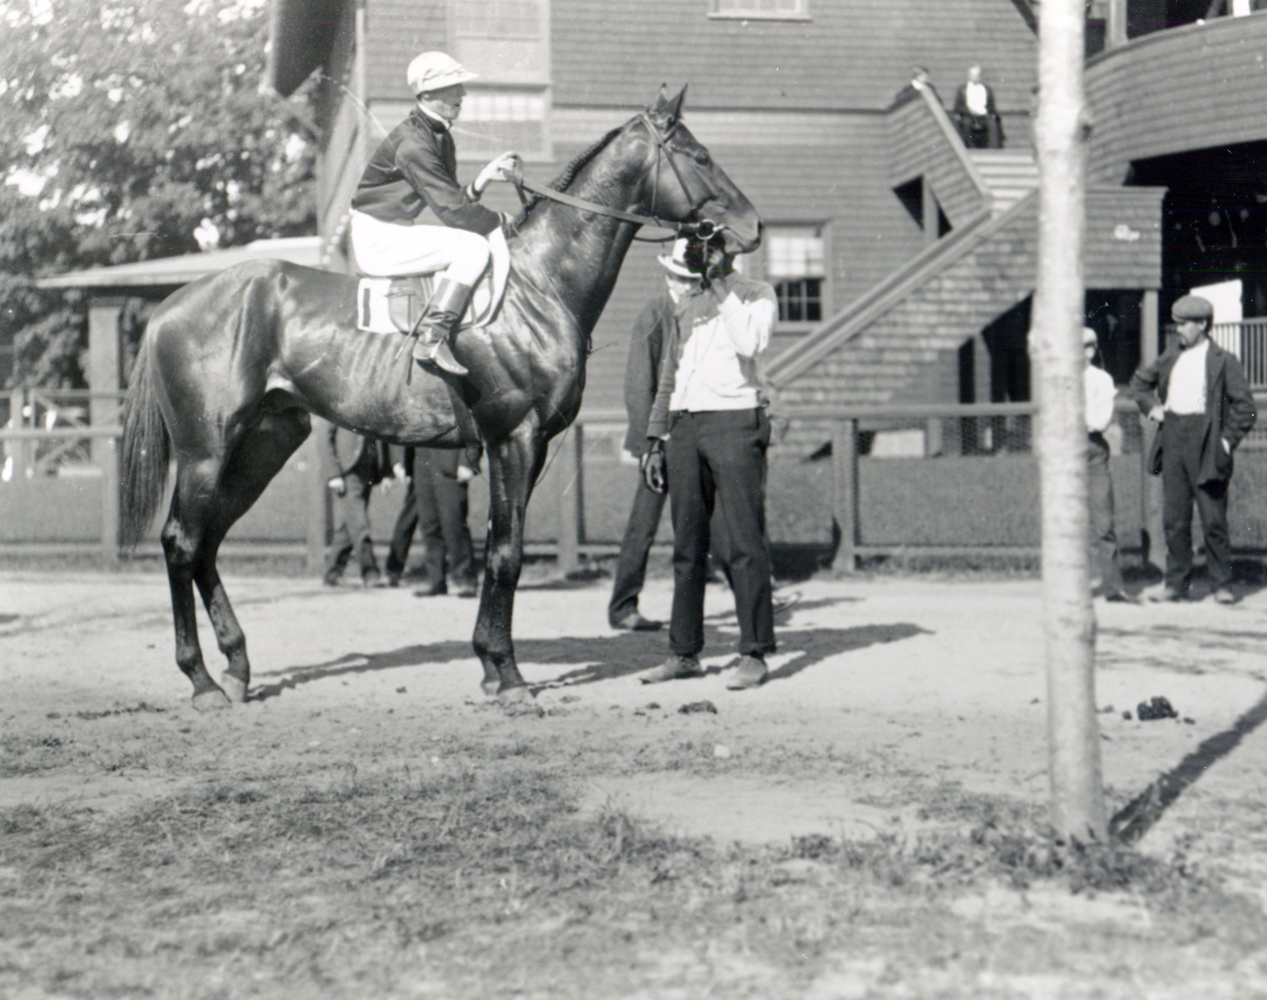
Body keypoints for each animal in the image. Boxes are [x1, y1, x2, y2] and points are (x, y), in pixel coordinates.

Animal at [119, 88, 760, 709]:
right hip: (205, 452)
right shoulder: (516, 439)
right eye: (700, 156)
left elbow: (500, 544)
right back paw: (201, 679)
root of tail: (172, 303)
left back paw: (236, 667)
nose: (751, 226)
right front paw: (510, 676)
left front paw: (490, 667)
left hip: (263, 447)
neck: (539, 282)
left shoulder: (522, 447)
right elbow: (506, 553)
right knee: (181, 542)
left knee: (207, 544)